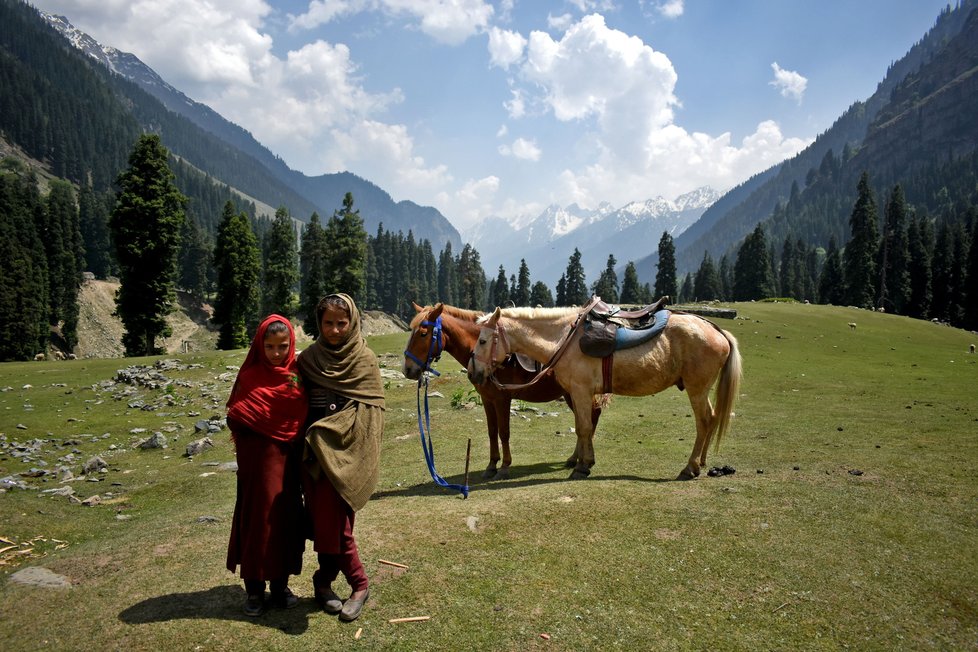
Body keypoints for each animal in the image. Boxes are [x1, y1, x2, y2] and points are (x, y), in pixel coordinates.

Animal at [398, 304, 600, 478]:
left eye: (423, 334)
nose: (407, 369)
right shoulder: (487, 399)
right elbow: (492, 431)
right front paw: (491, 465)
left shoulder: (502, 399)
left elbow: (504, 432)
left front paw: (504, 467)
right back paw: (576, 459)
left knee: (591, 418)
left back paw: (581, 460)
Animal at [468, 304, 740, 478]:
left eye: (482, 340)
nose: (473, 373)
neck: (563, 338)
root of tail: (717, 331)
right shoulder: (578, 393)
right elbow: (583, 426)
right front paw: (584, 461)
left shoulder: (581, 391)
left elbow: (584, 427)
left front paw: (582, 466)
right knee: (712, 418)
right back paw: (701, 462)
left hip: (697, 389)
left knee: (703, 421)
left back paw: (690, 468)